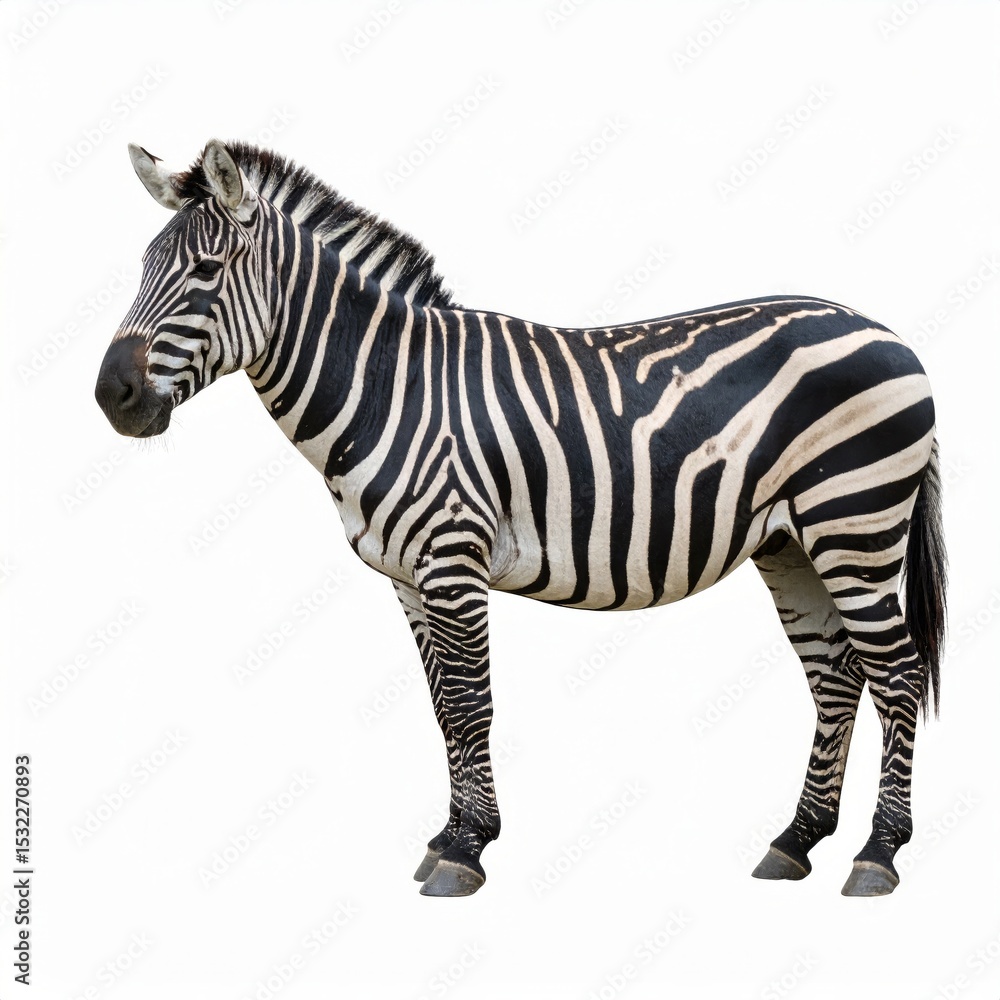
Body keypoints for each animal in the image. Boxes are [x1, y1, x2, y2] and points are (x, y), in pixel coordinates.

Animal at [95, 139, 947, 898]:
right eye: (142, 269)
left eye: (206, 272)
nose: (112, 397)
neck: (387, 384)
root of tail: (888, 333)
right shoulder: (407, 576)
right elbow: (443, 707)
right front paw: (450, 834)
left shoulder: (451, 555)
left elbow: (472, 703)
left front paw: (466, 852)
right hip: (791, 544)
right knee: (836, 679)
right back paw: (796, 841)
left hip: (855, 524)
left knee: (897, 674)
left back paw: (879, 853)